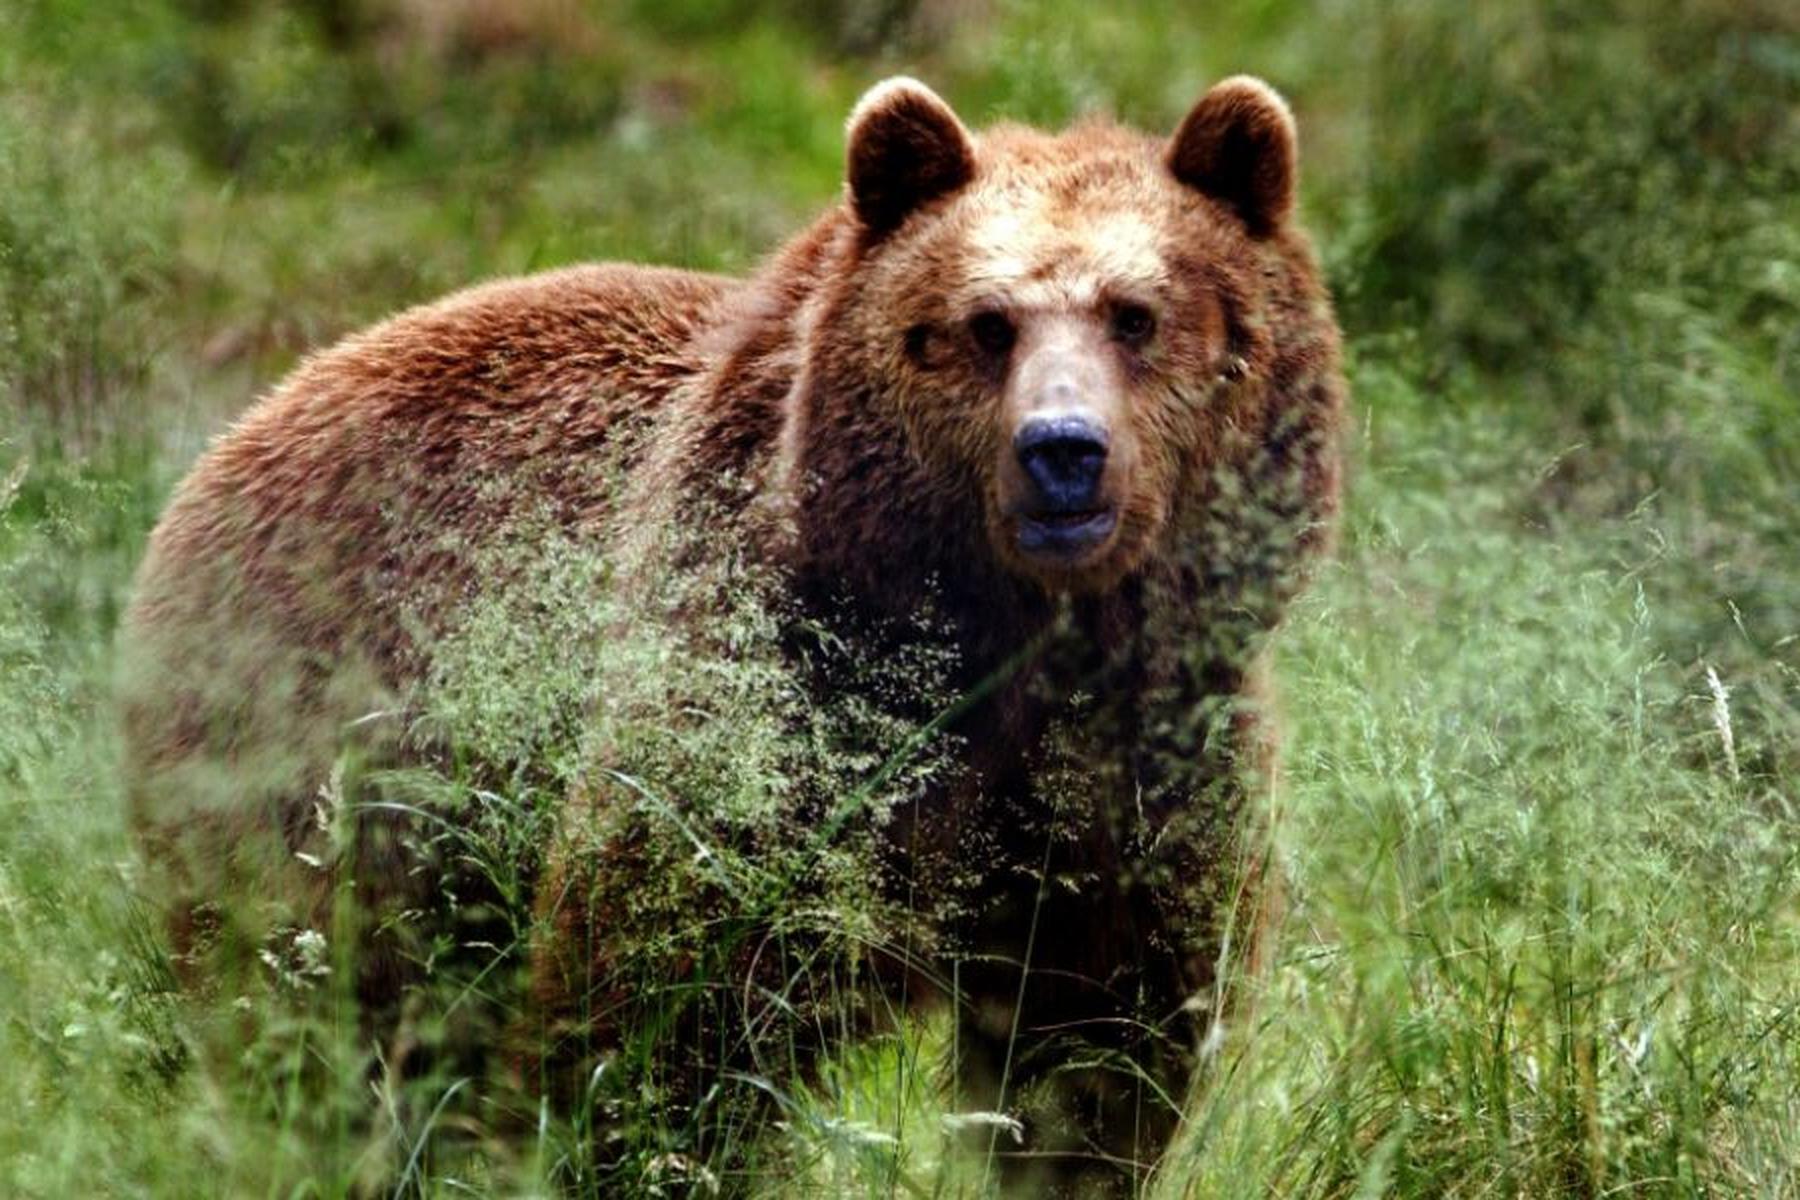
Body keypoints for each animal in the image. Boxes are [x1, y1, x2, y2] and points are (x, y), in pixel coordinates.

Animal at [120, 75, 1344, 1194]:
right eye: (983, 325)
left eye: (1137, 314)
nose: (1062, 451)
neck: (999, 643)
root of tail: (242, 429)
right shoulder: (775, 702)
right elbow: (669, 1012)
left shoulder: (1142, 759)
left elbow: (1098, 1052)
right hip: (328, 743)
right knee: (312, 998)